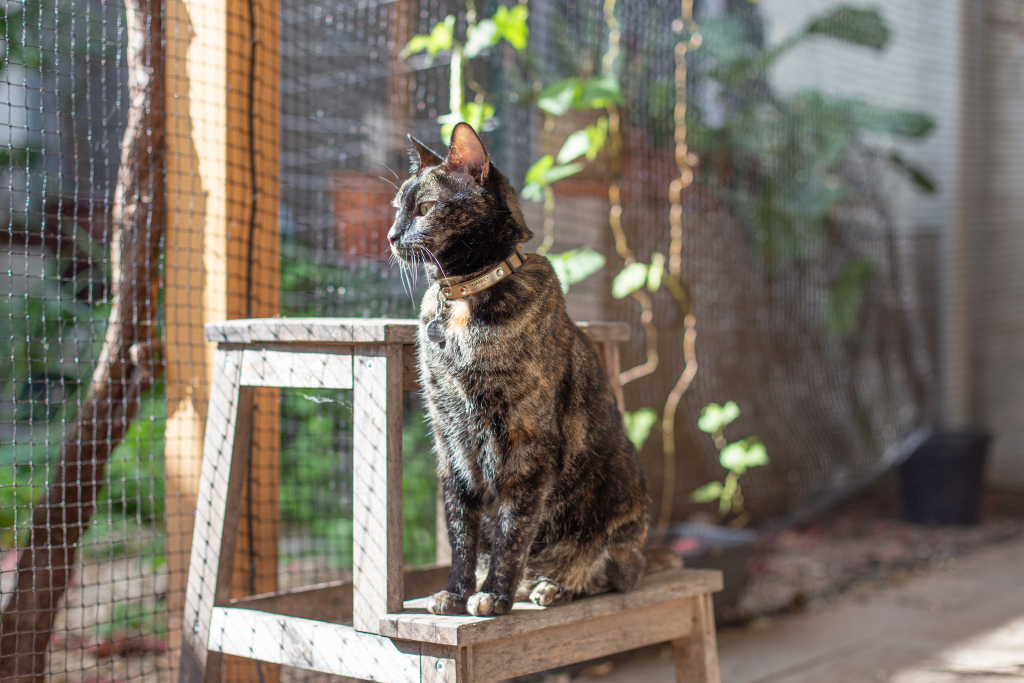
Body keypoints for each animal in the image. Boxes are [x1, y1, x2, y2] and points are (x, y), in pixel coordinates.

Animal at [387, 122, 654, 616]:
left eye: (426, 208)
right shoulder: (450, 446)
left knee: (614, 573)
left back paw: (551, 586)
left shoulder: (526, 444)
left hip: (621, 495)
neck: (462, 303)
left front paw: (494, 594)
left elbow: (513, 530)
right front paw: (456, 591)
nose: (392, 236)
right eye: (397, 208)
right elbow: (462, 531)